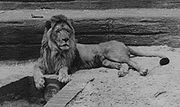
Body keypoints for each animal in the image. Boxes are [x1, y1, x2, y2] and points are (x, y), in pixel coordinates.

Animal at [33, 14, 169, 90]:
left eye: (67, 30)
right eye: (58, 31)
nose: (65, 39)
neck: (55, 51)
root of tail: (123, 43)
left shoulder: (68, 65)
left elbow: (62, 69)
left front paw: (63, 77)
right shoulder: (41, 64)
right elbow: (35, 70)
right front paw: (39, 83)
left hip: (114, 54)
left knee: (131, 61)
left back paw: (142, 70)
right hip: (106, 61)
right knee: (125, 64)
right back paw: (122, 72)